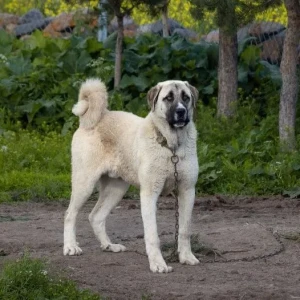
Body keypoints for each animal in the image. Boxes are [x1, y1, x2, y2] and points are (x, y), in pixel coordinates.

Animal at [63, 78, 199, 274]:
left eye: (186, 97)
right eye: (168, 98)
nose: (181, 111)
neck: (170, 146)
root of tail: (94, 118)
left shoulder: (187, 191)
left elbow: (185, 229)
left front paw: (186, 256)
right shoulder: (149, 194)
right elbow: (152, 235)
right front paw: (158, 264)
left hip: (116, 189)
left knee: (96, 216)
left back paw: (109, 246)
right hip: (84, 184)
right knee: (69, 214)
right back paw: (70, 246)